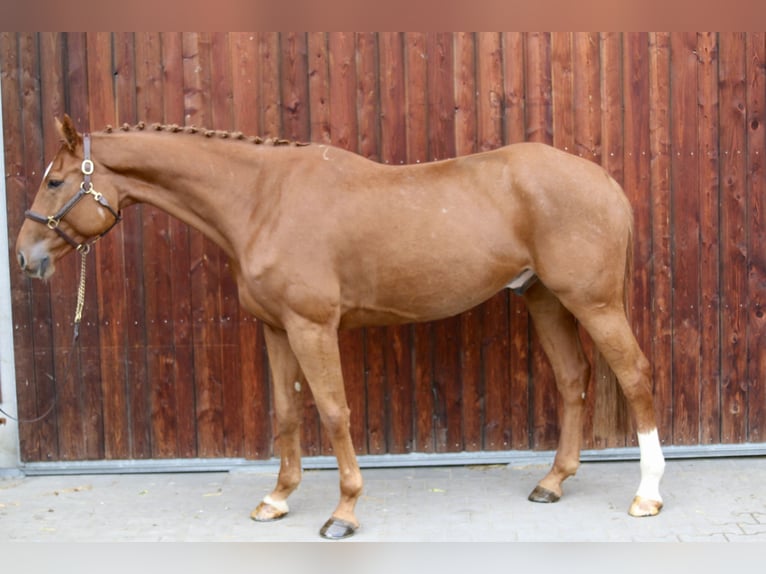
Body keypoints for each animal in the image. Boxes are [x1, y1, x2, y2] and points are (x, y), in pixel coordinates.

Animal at [13, 117, 664, 540]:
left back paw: (648, 494)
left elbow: (332, 411)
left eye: (54, 181)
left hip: (594, 302)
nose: (25, 257)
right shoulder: (275, 330)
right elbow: (286, 413)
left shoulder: (312, 327)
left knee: (634, 377)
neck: (262, 201)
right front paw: (276, 498)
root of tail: (604, 182)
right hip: (544, 299)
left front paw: (343, 512)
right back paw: (553, 482)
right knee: (573, 379)